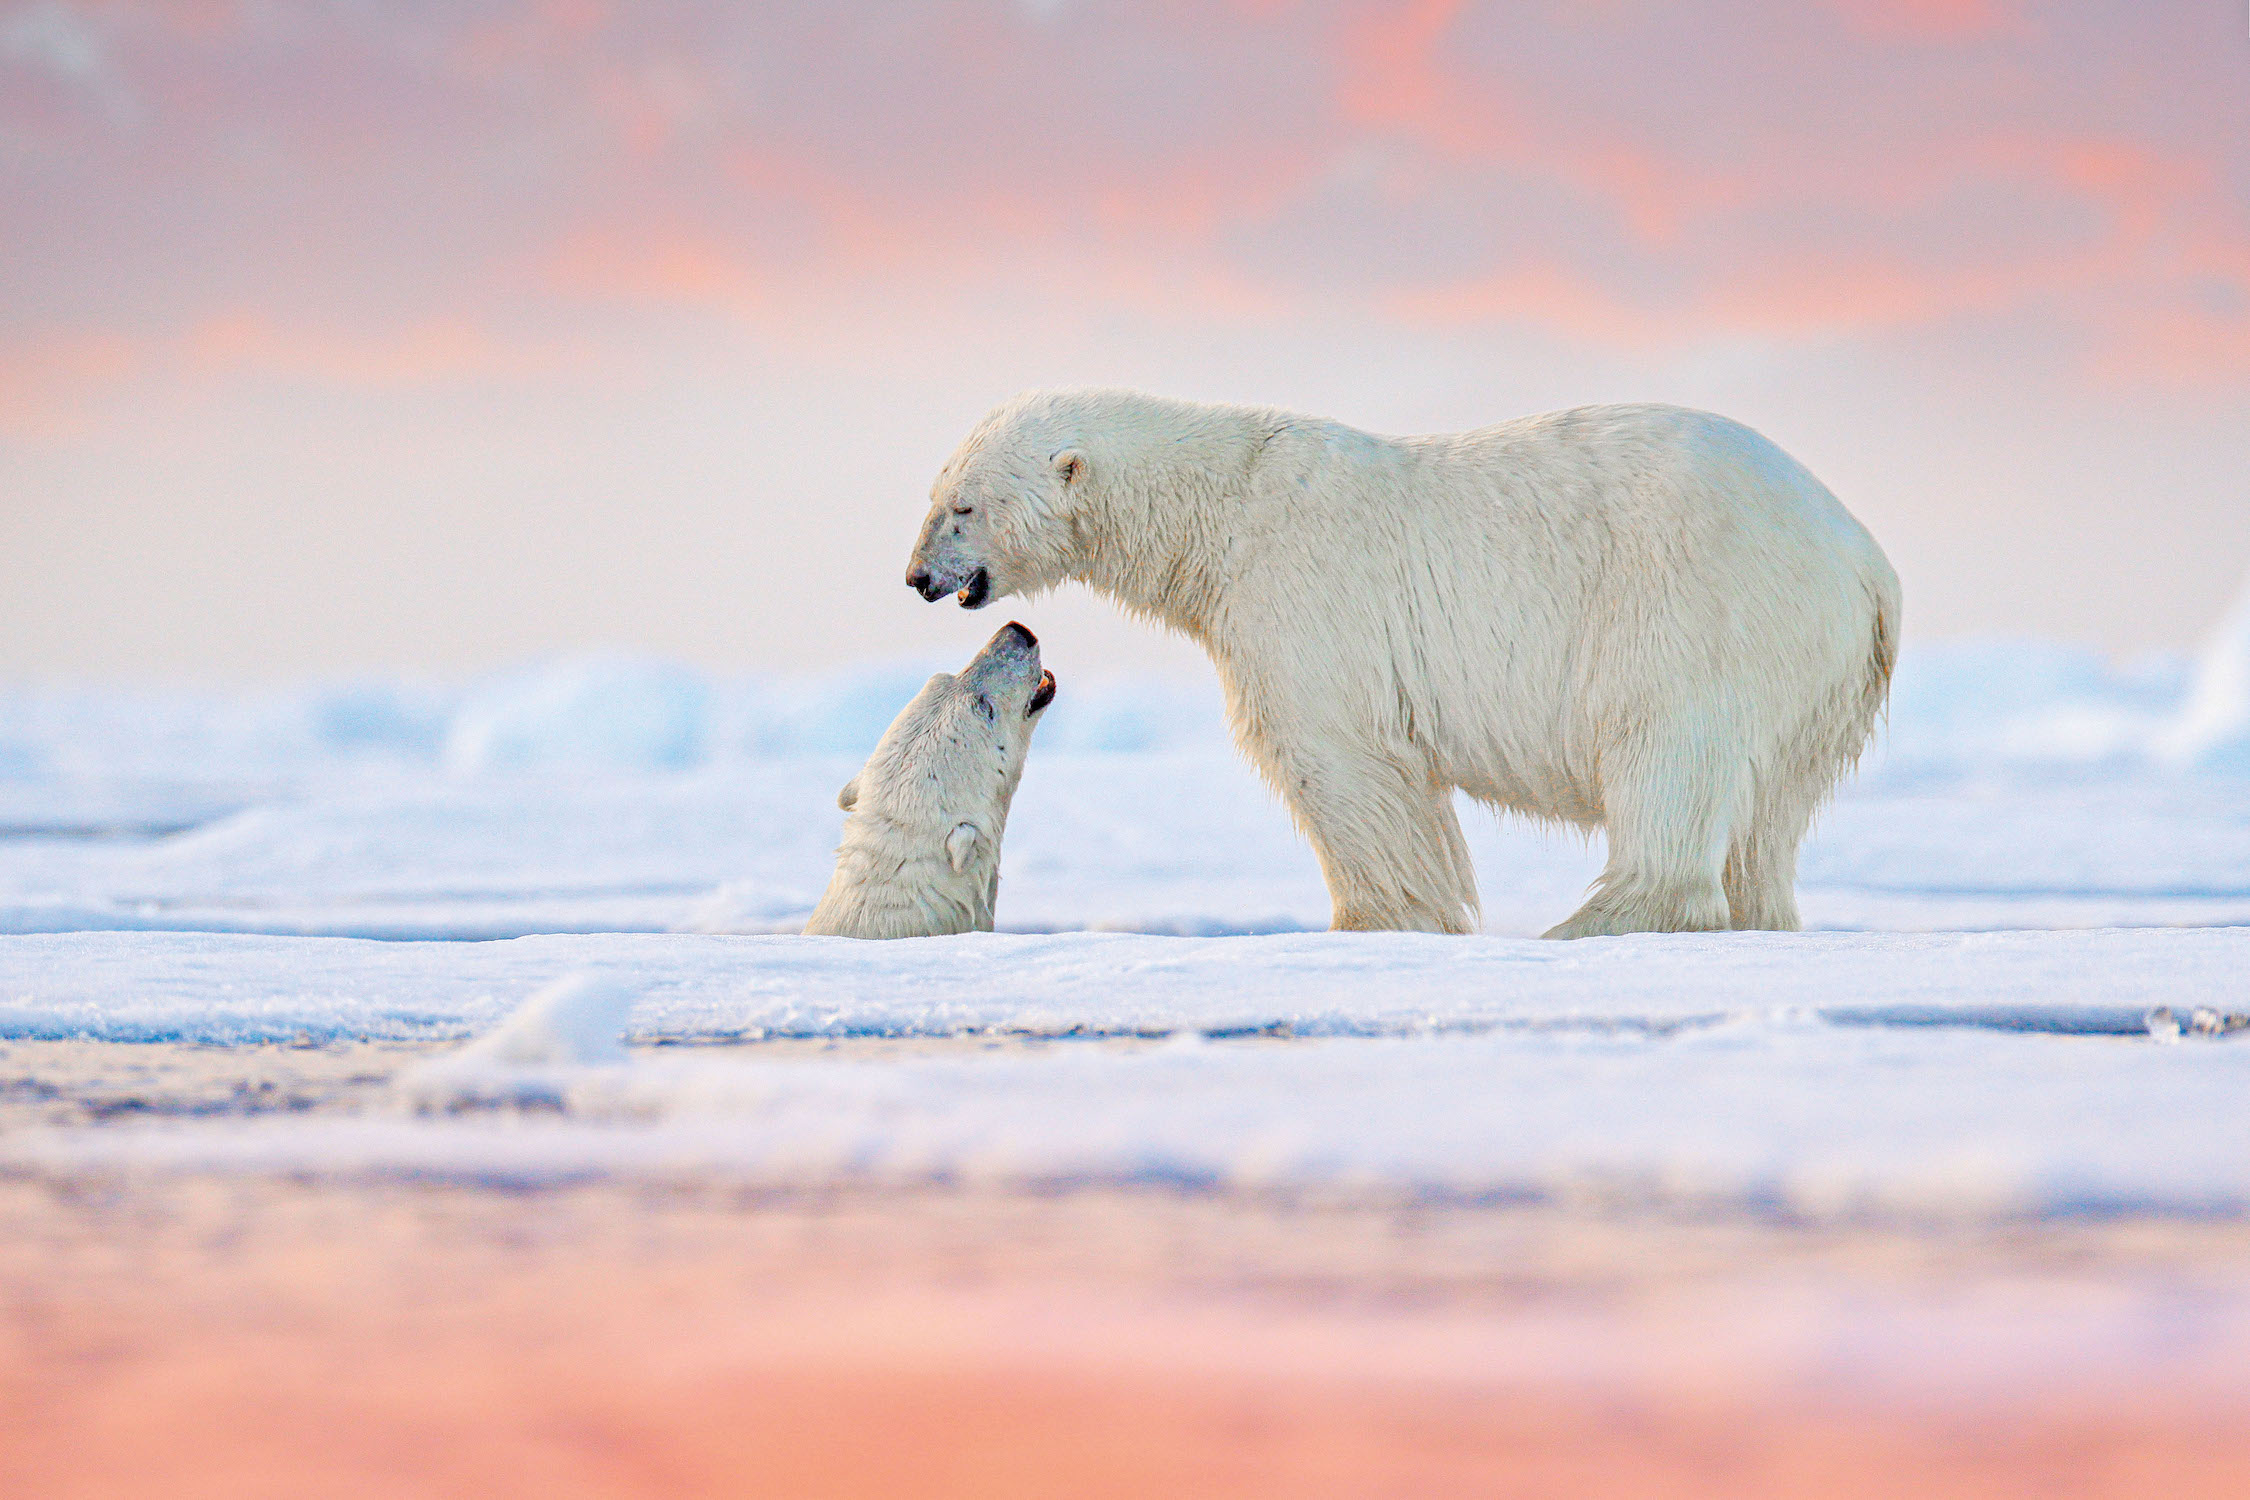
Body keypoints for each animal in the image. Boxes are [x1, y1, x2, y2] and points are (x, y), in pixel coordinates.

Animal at [904, 389, 1898, 939]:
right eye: (937, 494)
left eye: (963, 506)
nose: (917, 577)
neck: (1222, 509)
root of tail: (1864, 561)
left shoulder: (1301, 593)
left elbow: (1337, 759)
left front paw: (1378, 919)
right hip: (1820, 674)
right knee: (1769, 811)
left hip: (1699, 605)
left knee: (1667, 748)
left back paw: (1596, 919)